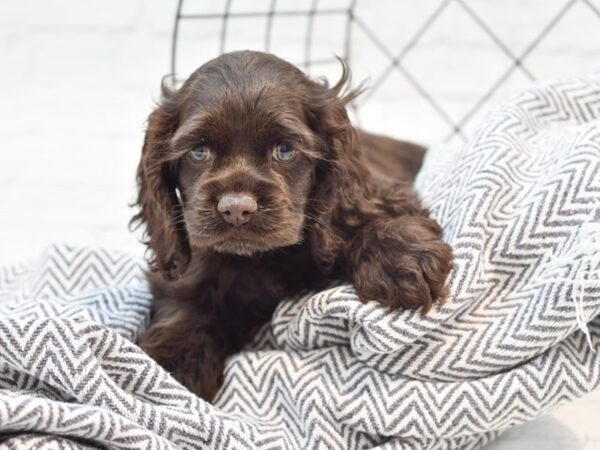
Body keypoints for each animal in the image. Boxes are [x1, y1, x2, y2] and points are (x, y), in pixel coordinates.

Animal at [131, 50, 450, 400]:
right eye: (198, 151)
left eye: (284, 150)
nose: (236, 209)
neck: (263, 258)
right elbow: (185, 304)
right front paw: (170, 363)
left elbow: (362, 216)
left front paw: (400, 260)